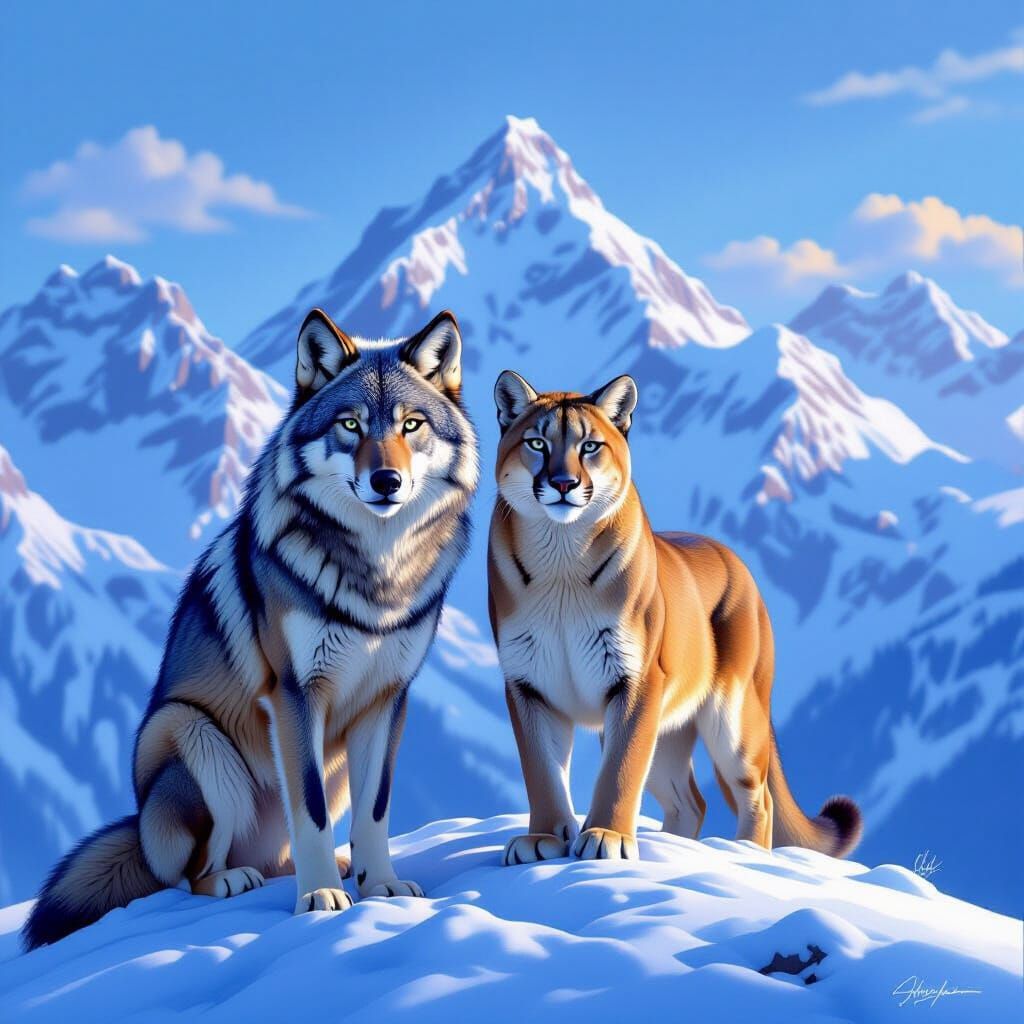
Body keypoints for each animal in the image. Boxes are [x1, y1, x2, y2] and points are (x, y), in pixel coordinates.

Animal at [24, 309, 478, 949]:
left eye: (411, 424)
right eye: (350, 425)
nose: (386, 480)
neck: (376, 575)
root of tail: (139, 825)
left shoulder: (388, 700)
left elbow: (376, 810)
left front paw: (382, 886)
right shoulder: (294, 694)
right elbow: (309, 810)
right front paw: (319, 900)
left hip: (326, 762)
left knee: (278, 852)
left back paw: (325, 868)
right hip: (189, 730)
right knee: (189, 874)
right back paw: (236, 880)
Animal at [487, 370, 861, 866]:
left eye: (590, 446)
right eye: (536, 443)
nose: (564, 483)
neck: (561, 557)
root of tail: (733, 557)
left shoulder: (635, 678)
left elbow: (621, 769)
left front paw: (606, 838)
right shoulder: (528, 684)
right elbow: (541, 772)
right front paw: (543, 840)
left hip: (733, 718)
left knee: (757, 793)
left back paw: (745, 853)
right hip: (669, 730)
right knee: (690, 800)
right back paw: (675, 848)